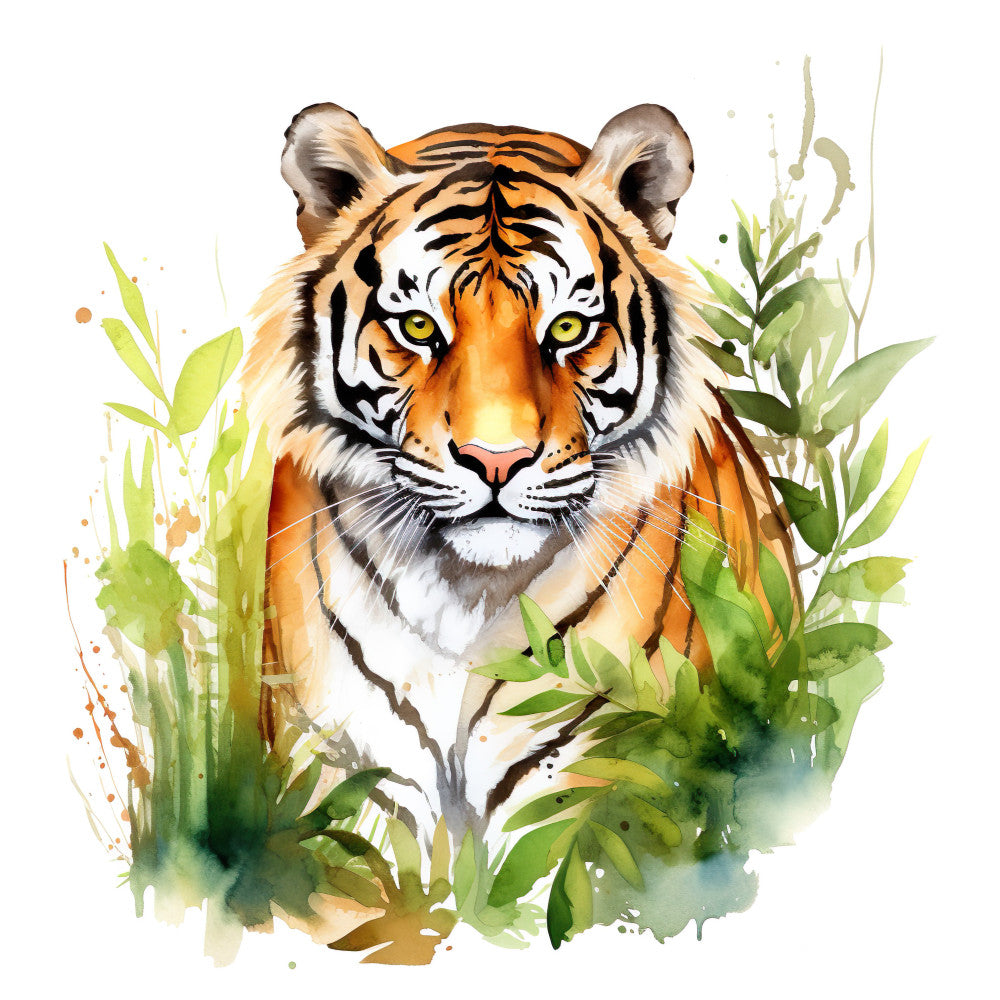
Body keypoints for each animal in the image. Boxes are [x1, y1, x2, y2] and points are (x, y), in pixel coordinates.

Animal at [243, 102, 799, 844]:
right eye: (418, 326)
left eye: (565, 330)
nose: (497, 459)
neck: (461, 597)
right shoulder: (346, 769)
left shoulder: (594, 786)